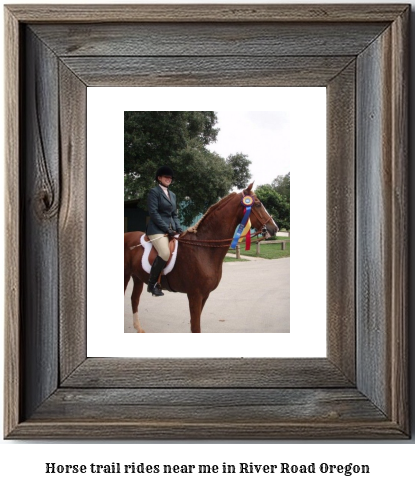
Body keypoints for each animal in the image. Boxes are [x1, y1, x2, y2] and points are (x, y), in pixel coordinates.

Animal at [123, 181, 280, 334]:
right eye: (258, 204)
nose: (274, 229)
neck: (203, 247)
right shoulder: (195, 295)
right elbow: (195, 327)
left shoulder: (204, 295)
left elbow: (195, 326)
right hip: (126, 276)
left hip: (137, 277)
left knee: (134, 299)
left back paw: (139, 328)